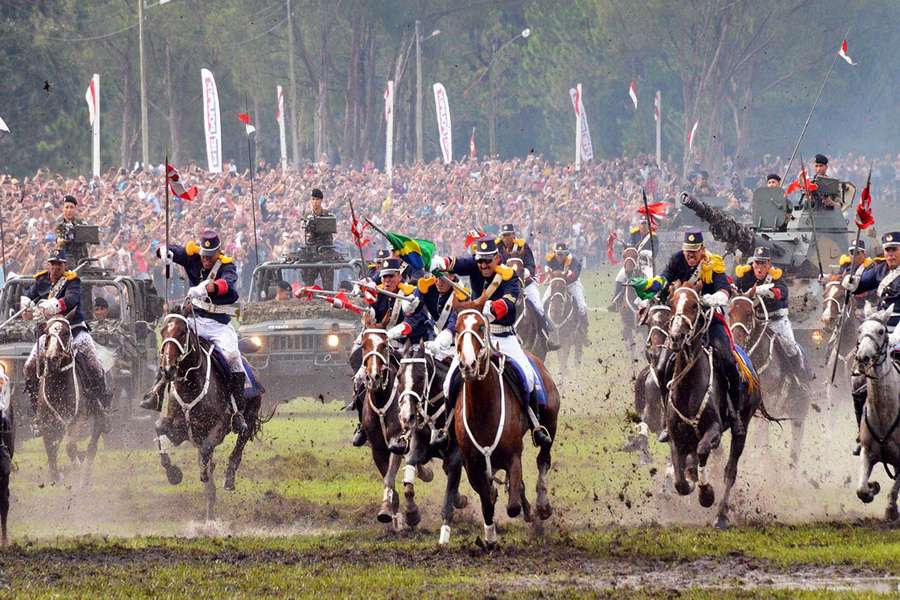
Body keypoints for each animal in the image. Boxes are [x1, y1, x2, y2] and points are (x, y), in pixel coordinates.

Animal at [34, 316, 104, 486]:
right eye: (47, 333)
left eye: (66, 332)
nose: (52, 359)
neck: (59, 389)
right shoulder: (48, 426)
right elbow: (51, 455)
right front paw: (57, 477)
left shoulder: (77, 421)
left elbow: (70, 447)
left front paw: (77, 466)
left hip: (98, 421)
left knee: (92, 447)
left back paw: (85, 479)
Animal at [153, 312, 260, 524]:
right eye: (163, 331)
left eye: (182, 332)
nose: (167, 369)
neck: (190, 385)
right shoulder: (178, 431)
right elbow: (159, 427)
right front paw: (173, 473)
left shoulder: (218, 428)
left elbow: (206, 449)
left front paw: (205, 471)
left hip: (250, 416)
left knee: (239, 445)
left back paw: (228, 478)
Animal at [454, 310, 560, 548]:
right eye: (457, 328)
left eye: (480, 327)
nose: (468, 364)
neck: (483, 411)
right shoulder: (472, 467)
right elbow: (487, 501)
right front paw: (489, 538)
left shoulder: (513, 456)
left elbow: (512, 506)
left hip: (550, 423)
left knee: (543, 458)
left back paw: (542, 505)